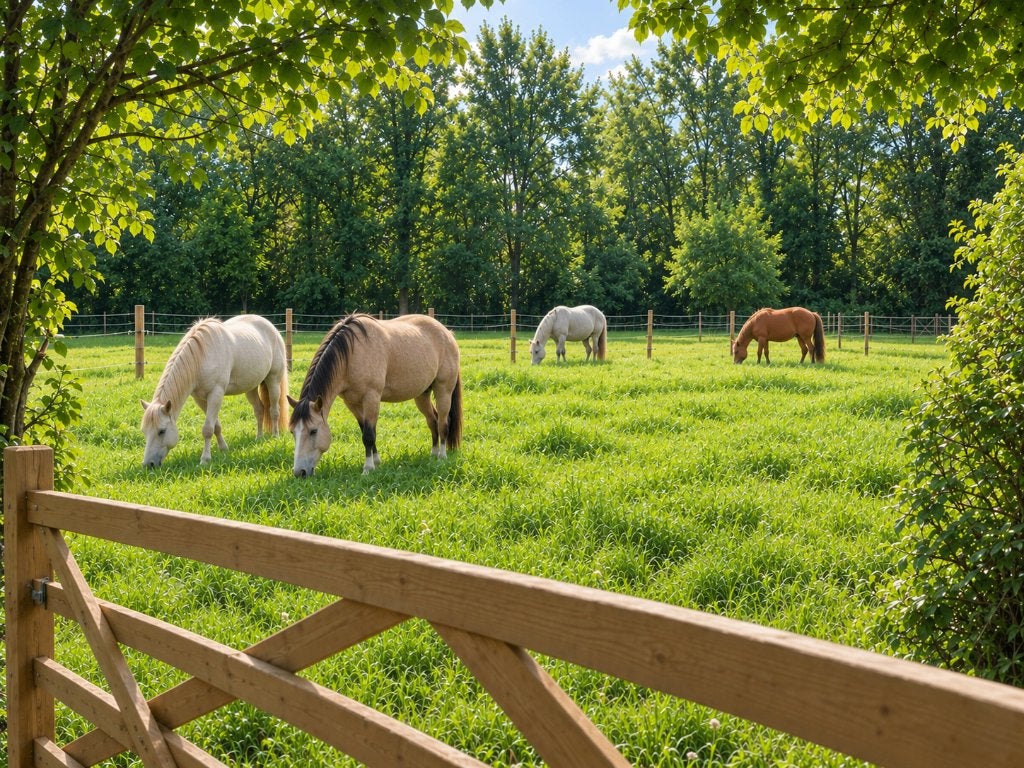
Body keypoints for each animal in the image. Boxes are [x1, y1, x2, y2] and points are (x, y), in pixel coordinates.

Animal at [141, 314, 289, 467]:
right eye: (144, 431)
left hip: (273, 380)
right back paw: (259, 438)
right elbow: (216, 426)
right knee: (259, 410)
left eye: (162, 431)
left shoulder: (216, 394)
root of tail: (271, 327)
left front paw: (205, 459)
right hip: (251, 386)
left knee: (274, 410)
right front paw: (223, 448)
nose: (148, 464)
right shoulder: (200, 399)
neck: (201, 357)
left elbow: (207, 429)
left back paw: (275, 436)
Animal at [289, 313, 462, 476]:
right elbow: (365, 430)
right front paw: (377, 461)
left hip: (443, 390)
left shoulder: (371, 398)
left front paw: (368, 468)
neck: (351, 354)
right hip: (422, 394)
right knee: (433, 420)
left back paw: (441, 456)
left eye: (313, 431)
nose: (299, 472)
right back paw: (433, 454)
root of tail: (447, 333)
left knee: (443, 423)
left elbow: (368, 435)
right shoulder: (352, 403)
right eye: (292, 432)